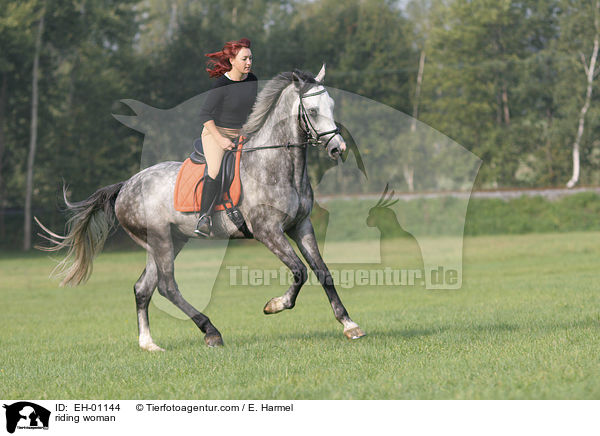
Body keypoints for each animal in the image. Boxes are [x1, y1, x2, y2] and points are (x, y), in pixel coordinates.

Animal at [38, 65, 366, 350]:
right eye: (312, 111)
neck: (277, 166)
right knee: (167, 287)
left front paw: (349, 324)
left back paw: (149, 344)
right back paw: (211, 331)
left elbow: (322, 271)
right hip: (160, 239)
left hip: (169, 240)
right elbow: (299, 271)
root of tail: (126, 185)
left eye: (331, 105)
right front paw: (275, 305)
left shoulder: (300, 226)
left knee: (143, 288)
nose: (338, 148)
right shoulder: (267, 231)